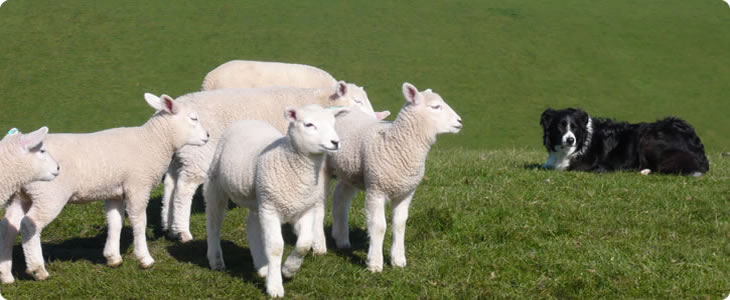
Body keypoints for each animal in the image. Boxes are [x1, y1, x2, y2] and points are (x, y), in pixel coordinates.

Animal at [0, 94, 209, 284]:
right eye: (193, 118)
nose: (207, 136)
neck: (154, 141)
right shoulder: (138, 185)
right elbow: (139, 221)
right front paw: (144, 258)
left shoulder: (115, 192)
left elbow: (115, 222)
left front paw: (113, 257)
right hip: (48, 194)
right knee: (29, 225)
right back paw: (38, 270)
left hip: (20, 195)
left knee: (8, 227)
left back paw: (6, 276)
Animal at [160, 82, 376, 246]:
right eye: (357, 101)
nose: (374, 119)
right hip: (197, 154)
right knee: (183, 190)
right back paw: (183, 231)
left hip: (179, 156)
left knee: (170, 185)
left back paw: (168, 226)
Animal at [202, 104, 344, 296]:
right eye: (309, 124)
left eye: (333, 123)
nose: (335, 142)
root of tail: (248, 120)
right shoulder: (271, 209)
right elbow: (275, 247)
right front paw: (275, 286)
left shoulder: (305, 208)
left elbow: (304, 243)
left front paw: (289, 270)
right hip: (216, 185)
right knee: (214, 222)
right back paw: (216, 259)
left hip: (258, 199)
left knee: (252, 226)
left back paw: (262, 267)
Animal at [328, 81, 464, 272]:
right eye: (435, 107)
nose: (460, 122)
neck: (397, 143)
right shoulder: (376, 189)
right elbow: (379, 226)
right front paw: (375, 263)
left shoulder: (405, 192)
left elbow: (399, 224)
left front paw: (398, 259)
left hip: (350, 171)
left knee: (340, 198)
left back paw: (342, 240)